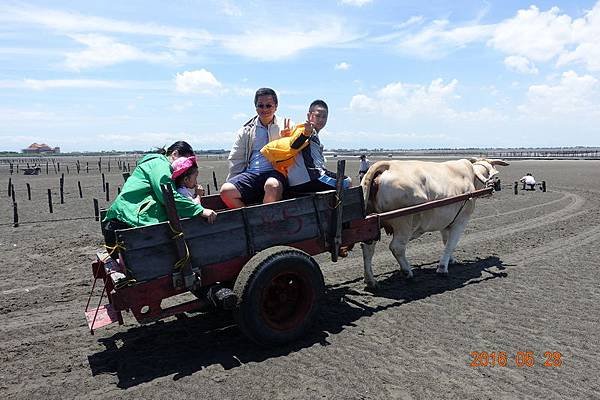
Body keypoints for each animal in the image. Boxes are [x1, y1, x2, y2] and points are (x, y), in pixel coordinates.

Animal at [360, 158, 506, 290]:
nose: (494, 187)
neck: (470, 178)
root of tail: (389, 165)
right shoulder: (461, 221)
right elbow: (451, 244)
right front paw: (442, 268)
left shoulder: (445, 221)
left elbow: (446, 241)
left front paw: (451, 260)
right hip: (404, 223)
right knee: (396, 247)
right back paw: (408, 272)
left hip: (371, 225)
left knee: (367, 248)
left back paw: (371, 281)